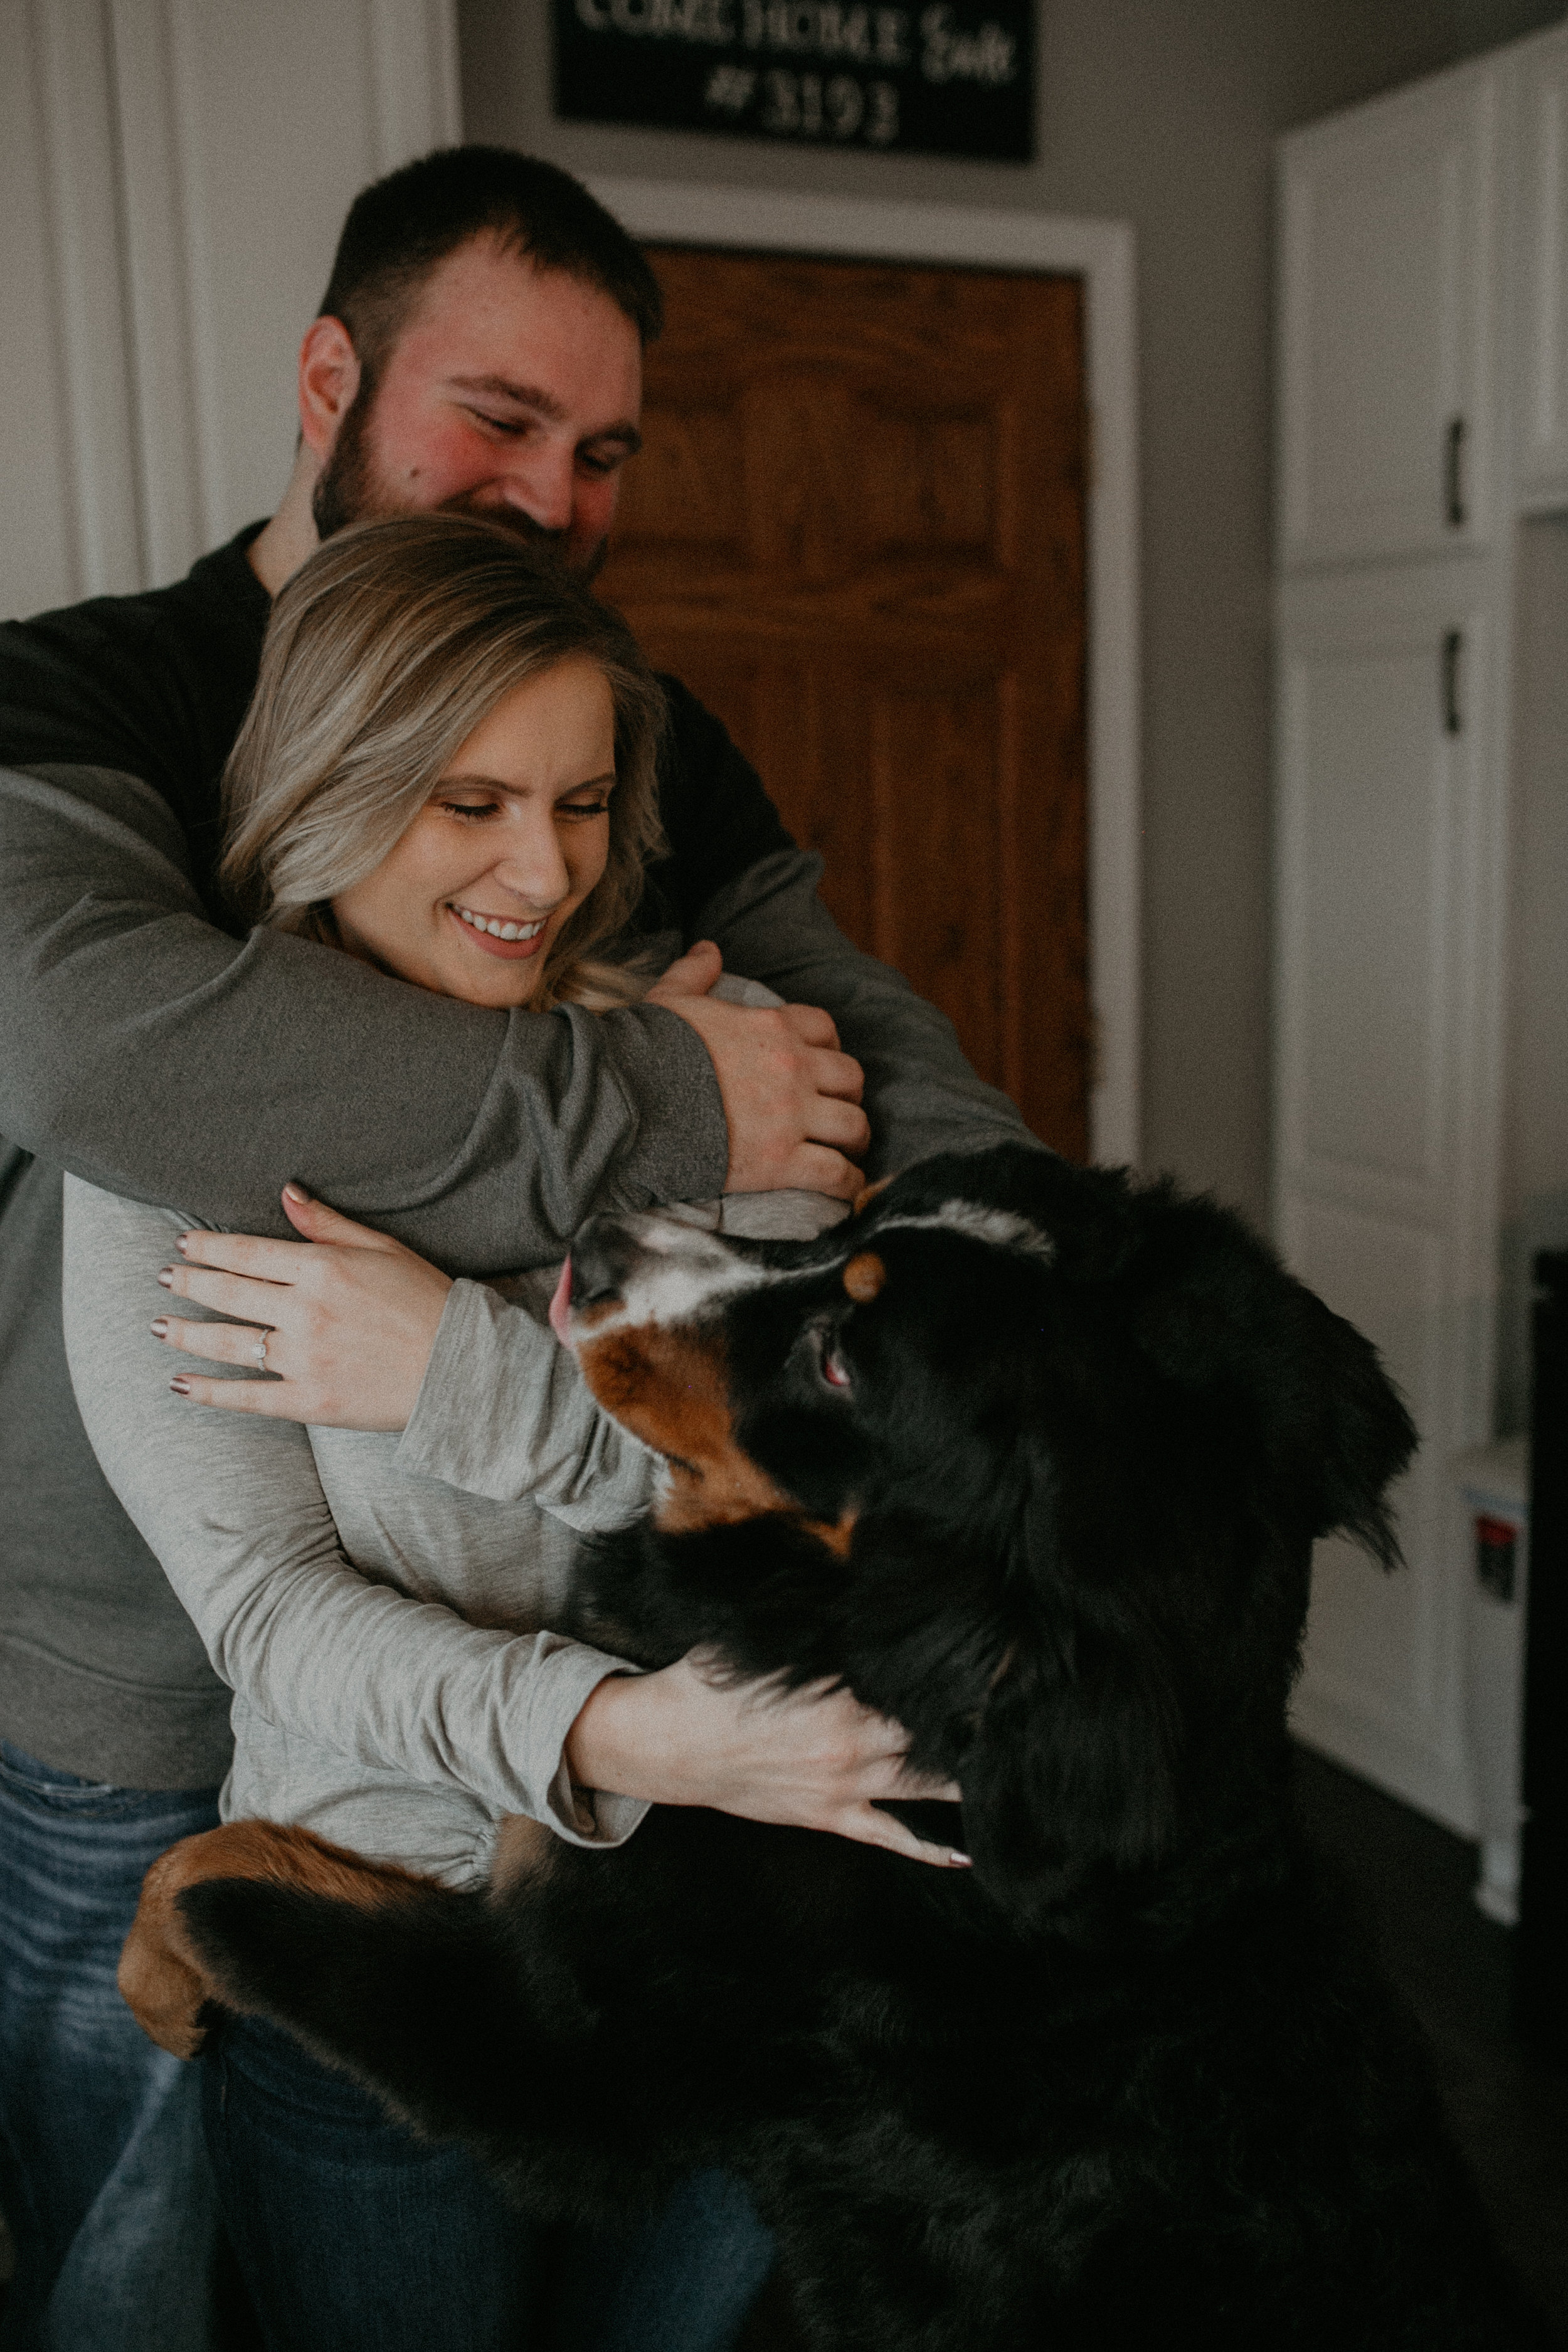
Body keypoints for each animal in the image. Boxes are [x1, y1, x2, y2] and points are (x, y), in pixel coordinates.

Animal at [120, 1148, 1542, 2343]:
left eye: (841, 1362)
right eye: (858, 1217)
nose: (601, 1235)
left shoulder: (563, 2058)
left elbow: (214, 1880)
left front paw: (156, 1988)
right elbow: (230, 1855)